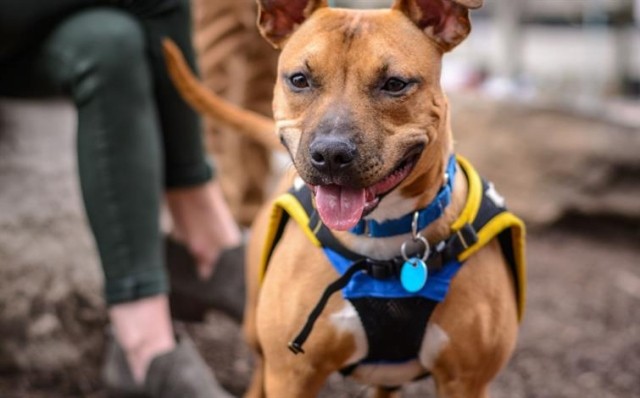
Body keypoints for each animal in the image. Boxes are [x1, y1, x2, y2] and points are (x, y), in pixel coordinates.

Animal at [162, 1, 528, 396]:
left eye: (394, 84)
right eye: (299, 80)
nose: (331, 154)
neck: (382, 237)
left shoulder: (467, 380)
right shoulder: (292, 375)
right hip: (256, 333)